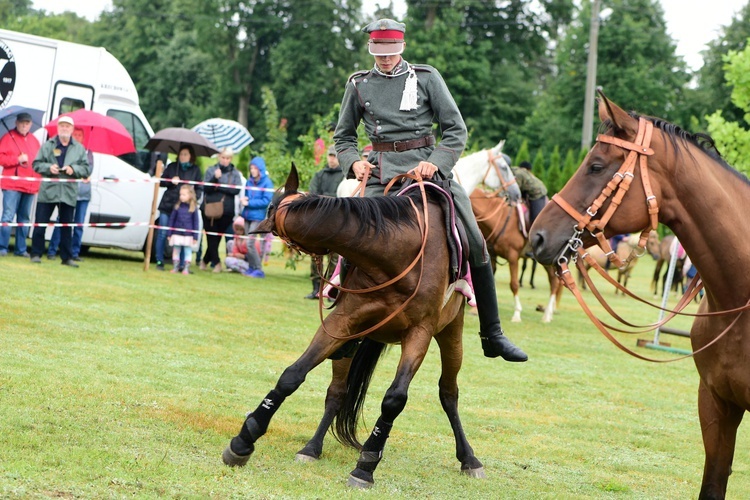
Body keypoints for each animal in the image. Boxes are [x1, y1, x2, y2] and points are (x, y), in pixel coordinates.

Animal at [222, 166, 488, 486]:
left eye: (272, 208)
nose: (256, 226)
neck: (395, 254)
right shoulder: (342, 323)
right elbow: (292, 375)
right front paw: (244, 439)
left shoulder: (420, 333)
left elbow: (394, 399)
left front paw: (366, 466)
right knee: (337, 393)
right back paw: (311, 448)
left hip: (451, 333)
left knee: (449, 393)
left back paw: (469, 458)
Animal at [470, 189, 564, 322]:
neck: (500, 219)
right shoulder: (492, 257)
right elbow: (487, 284)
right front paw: (475, 311)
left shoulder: (513, 257)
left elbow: (514, 284)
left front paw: (517, 314)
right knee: (553, 281)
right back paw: (548, 314)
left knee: (554, 283)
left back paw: (547, 315)